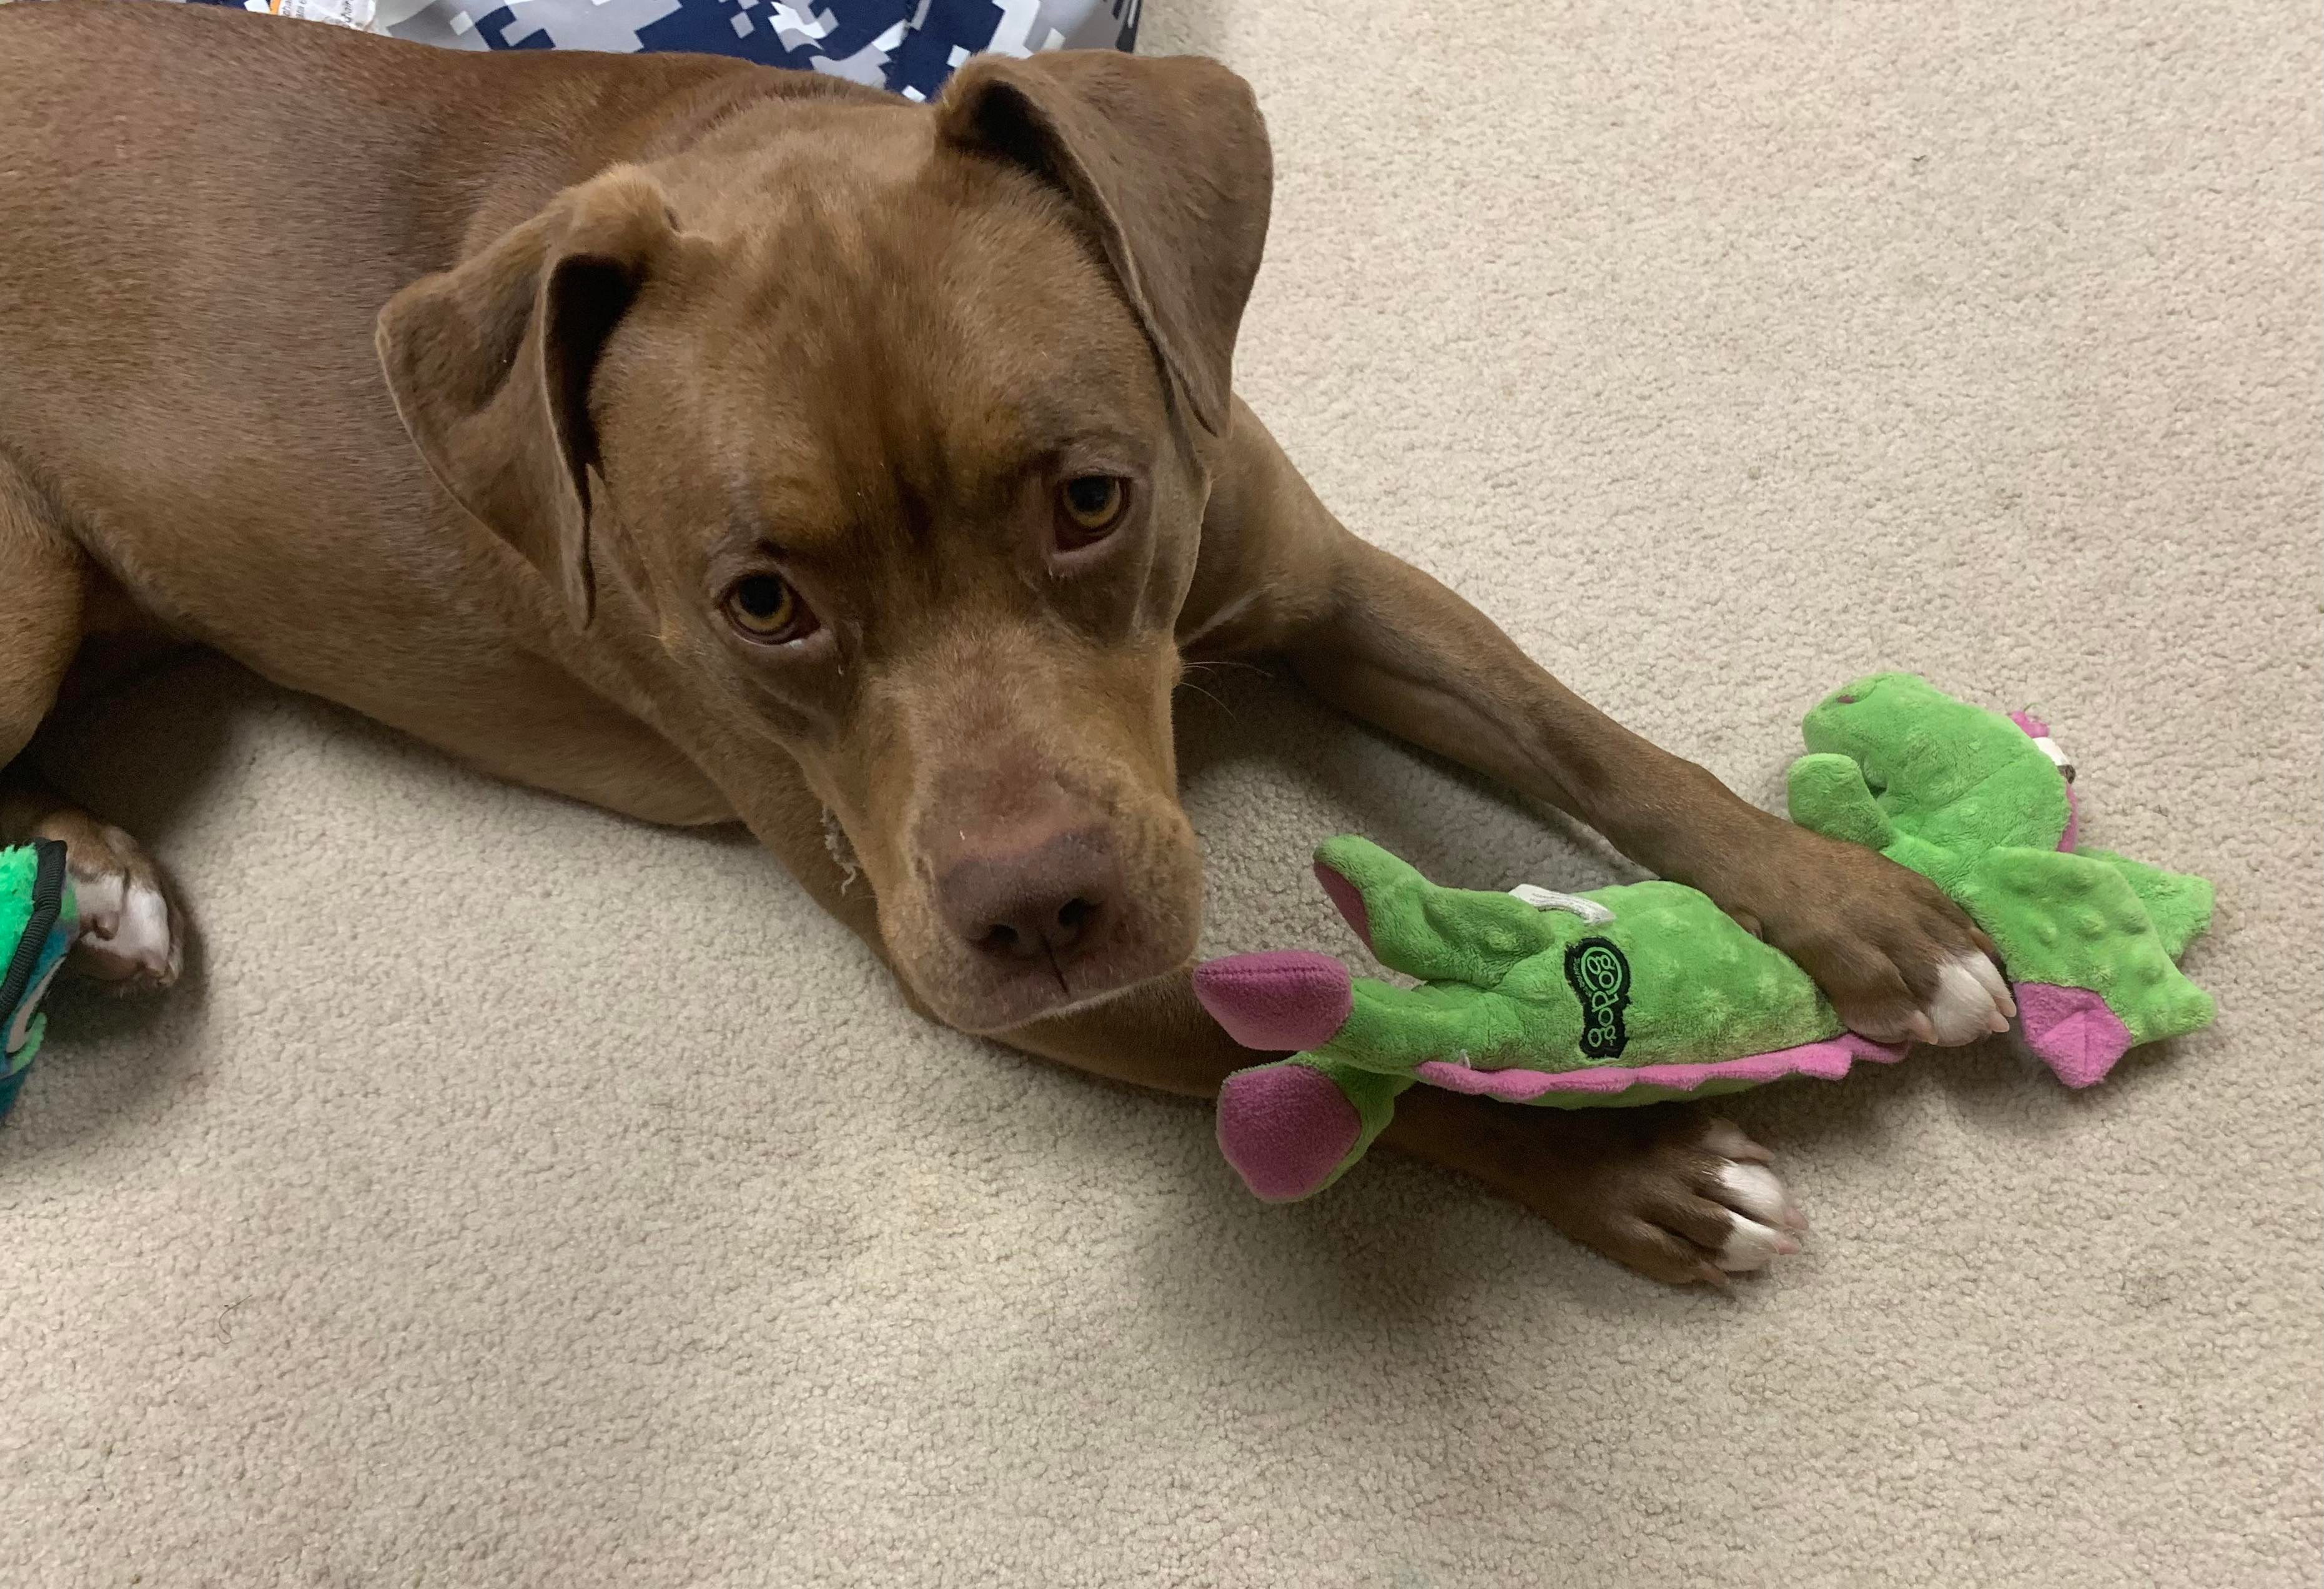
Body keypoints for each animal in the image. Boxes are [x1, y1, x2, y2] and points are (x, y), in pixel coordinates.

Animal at [0, 2, 2014, 1286]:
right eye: (760, 601)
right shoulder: (969, 942)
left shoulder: (1315, 572)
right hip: (26, 575)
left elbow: (1585, 736)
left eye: (1090, 497)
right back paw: (89, 891)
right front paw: (1638, 1165)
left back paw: (90, 883)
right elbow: (1335, 1055)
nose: (1038, 911)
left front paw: (1867, 915)